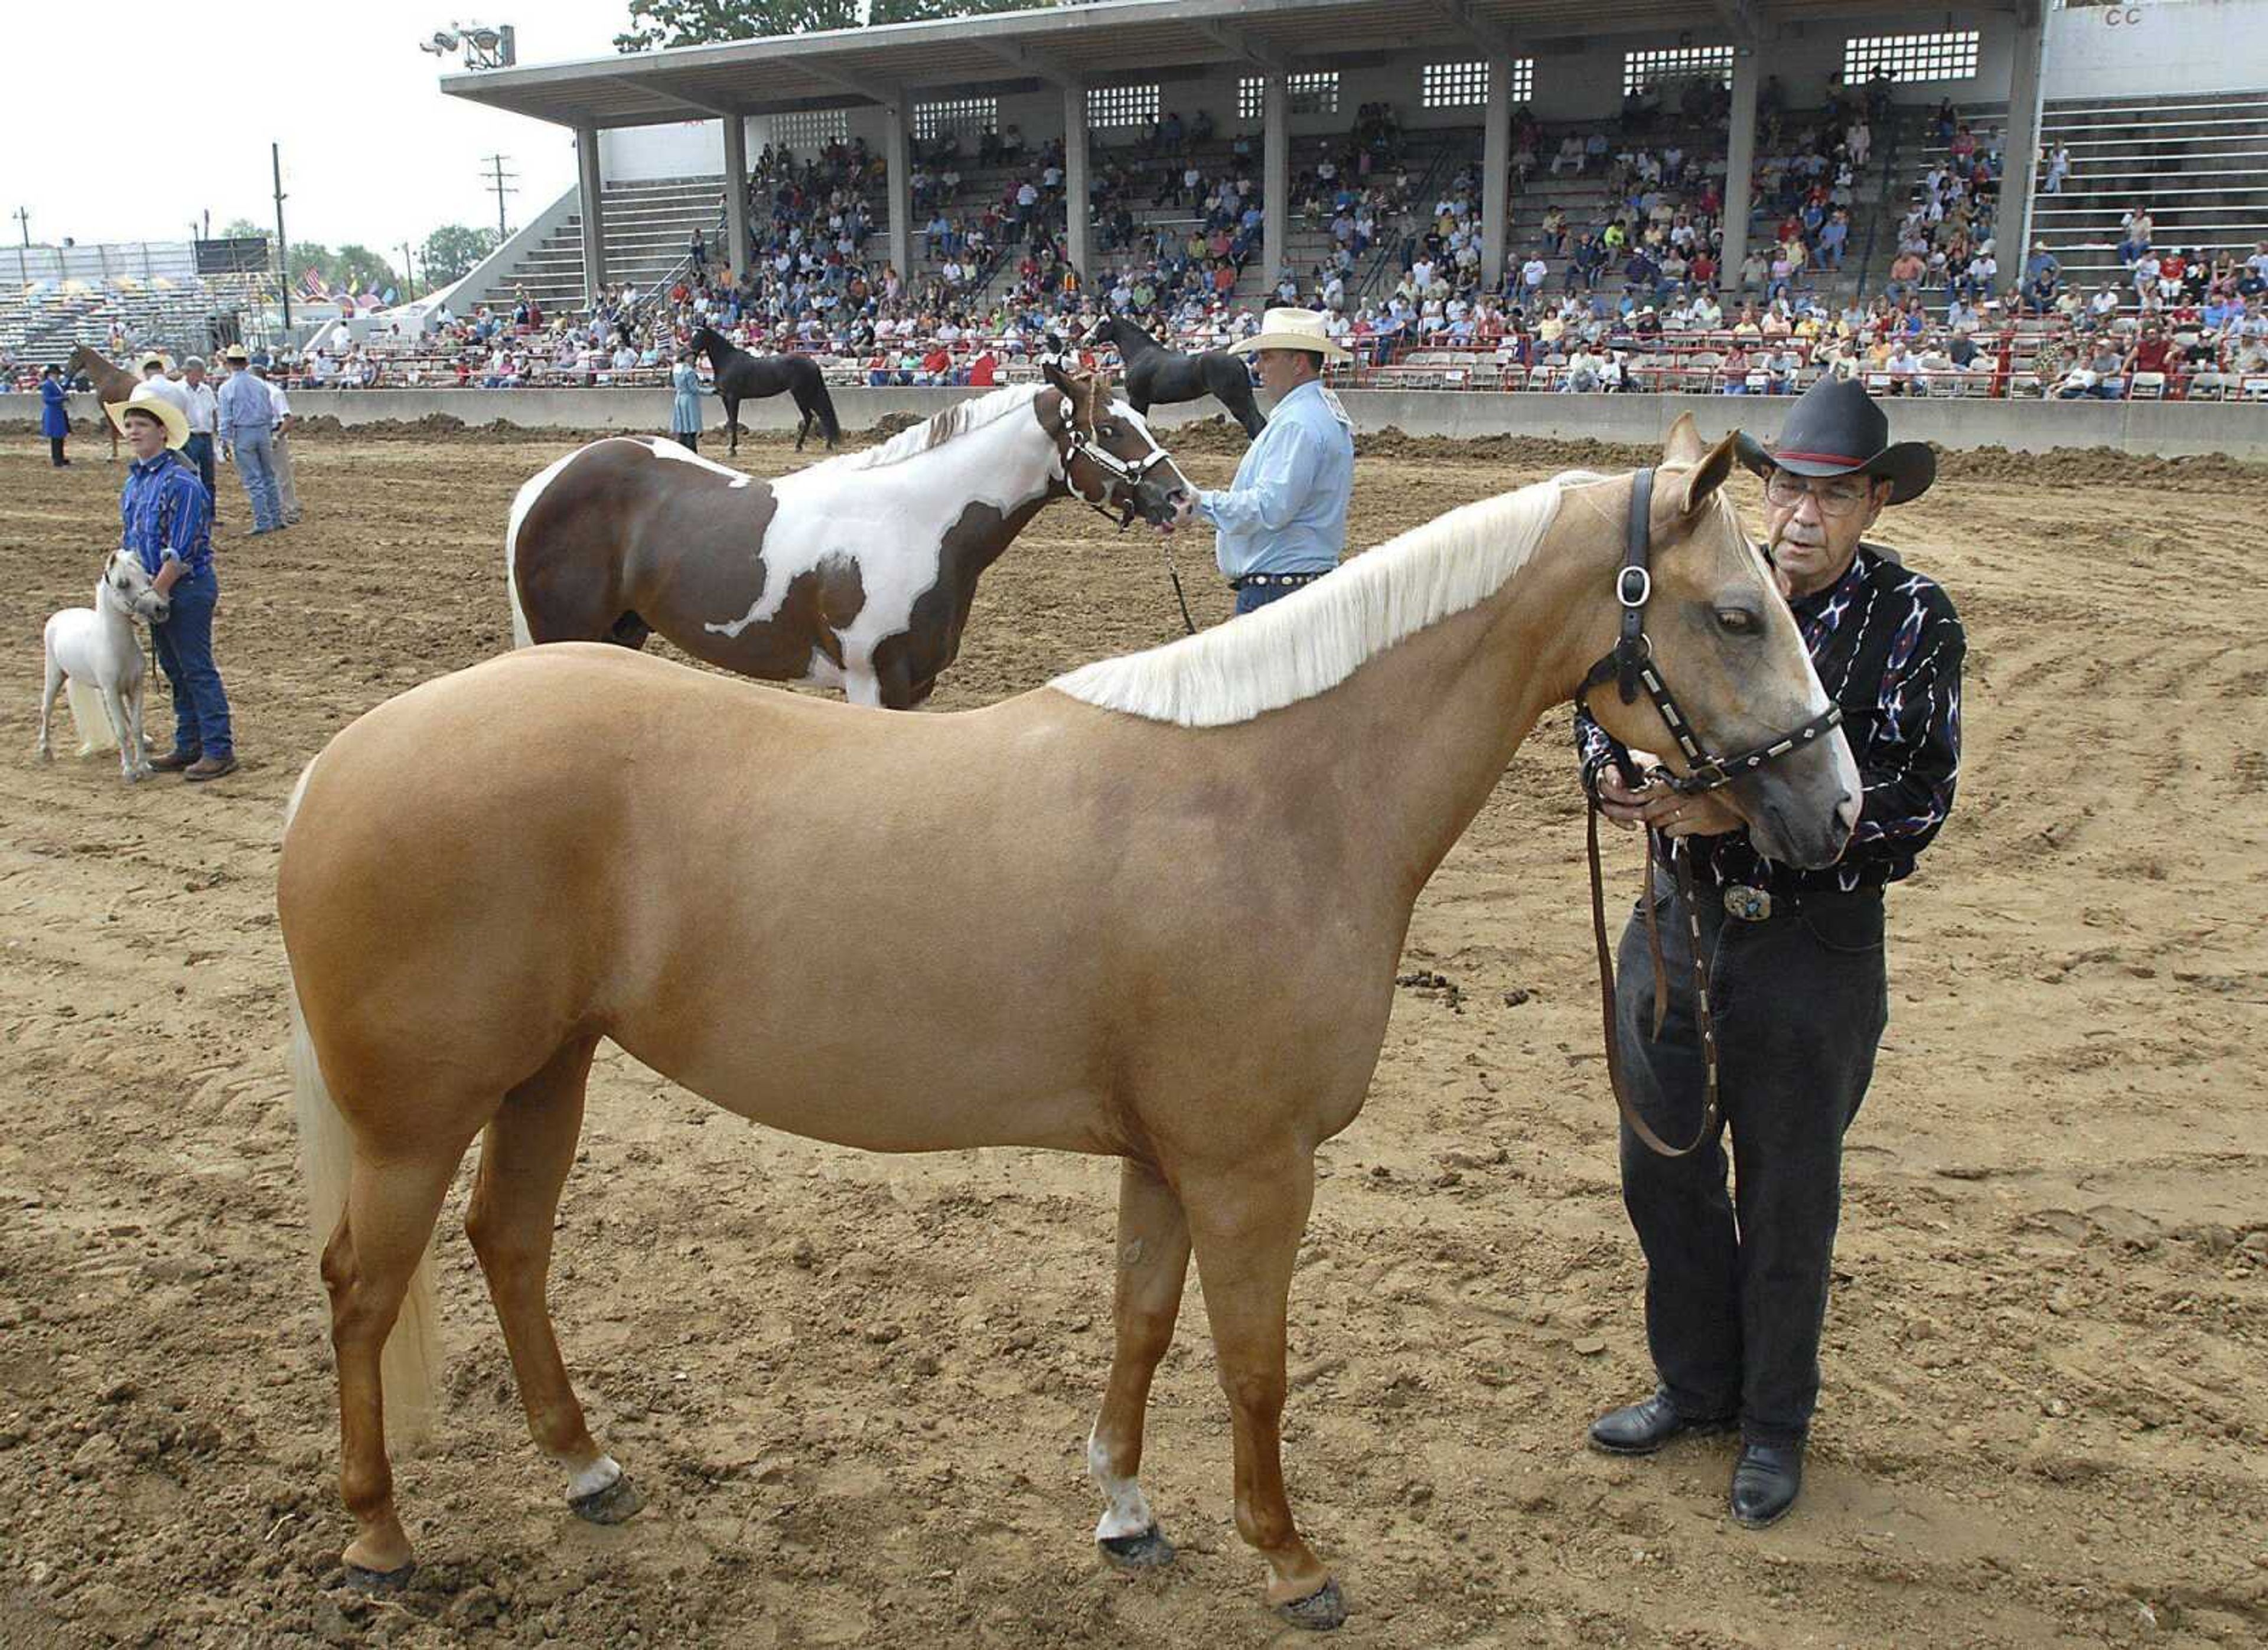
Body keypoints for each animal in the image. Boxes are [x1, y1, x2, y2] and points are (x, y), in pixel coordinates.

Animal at [279, 419, 1859, 1632]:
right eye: (1735, 614)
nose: (1836, 808)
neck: (1274, 794)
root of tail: (345, 758)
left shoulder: (1168, 1161)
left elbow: (1143, 1325)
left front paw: (1125, 1509)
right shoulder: (1251, 1169)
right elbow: (1254, 1363)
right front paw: (1290, 1560)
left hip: (547, 1070)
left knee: (509, 1243)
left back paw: (587, 1468)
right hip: (418, 1113)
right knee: (363, 1286)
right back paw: (379, 1538)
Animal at [508, 364, 1197, 707]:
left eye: (1138, 419)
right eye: (1110, 430)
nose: (1180, 497)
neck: (912, 521)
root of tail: (542, 484)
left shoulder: (916, 687)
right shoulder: (873, 681)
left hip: (620, 634)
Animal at [689, 324, 843, 451]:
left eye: (699, 336)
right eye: (693, 335)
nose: (690, 354)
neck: (728, 361)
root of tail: (813, 364)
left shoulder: (733, 398)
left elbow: (733, 421)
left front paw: (732, 449)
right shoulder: (725, 398)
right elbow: (730, 421)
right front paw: (732, 445)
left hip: (801, 394)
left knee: (811, 416)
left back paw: (801, 446)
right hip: (809, 394)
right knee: (821, 414)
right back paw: (826, 444)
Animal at [1084, 310, 1270, 435]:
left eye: (1102, 323)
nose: (1086, 340)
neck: (1139, 353)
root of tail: (1237, 360)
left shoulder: (1138, 399)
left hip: (1234, 399)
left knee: (1253, 423)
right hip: (1244, 397)